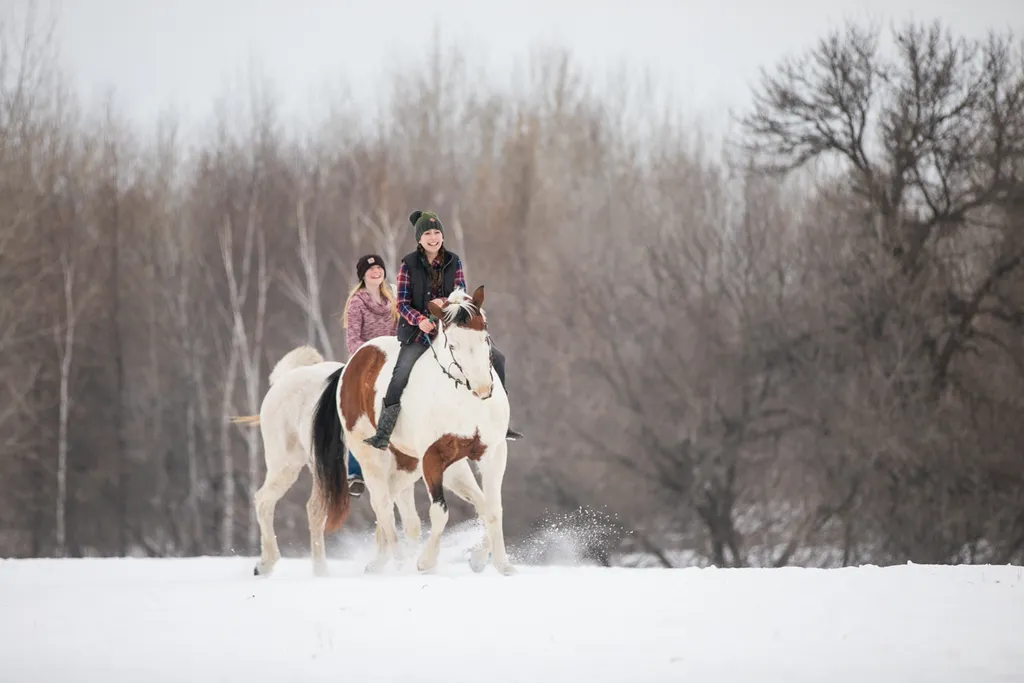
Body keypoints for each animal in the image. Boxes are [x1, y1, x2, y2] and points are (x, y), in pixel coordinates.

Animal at [331, 284, 515, 575]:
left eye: (485, 336)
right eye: (453, 344)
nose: (483, 388)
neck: (465, 399)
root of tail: (359, 356)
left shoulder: (493, 452)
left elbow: (493, 508)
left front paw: (499, 564)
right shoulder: (432, 457)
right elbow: (440, 512)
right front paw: (426, 562)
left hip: (415, 463)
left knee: (399, 498)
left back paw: (381, 559)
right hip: (369, 453)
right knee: (382, 503)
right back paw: (399, 560)